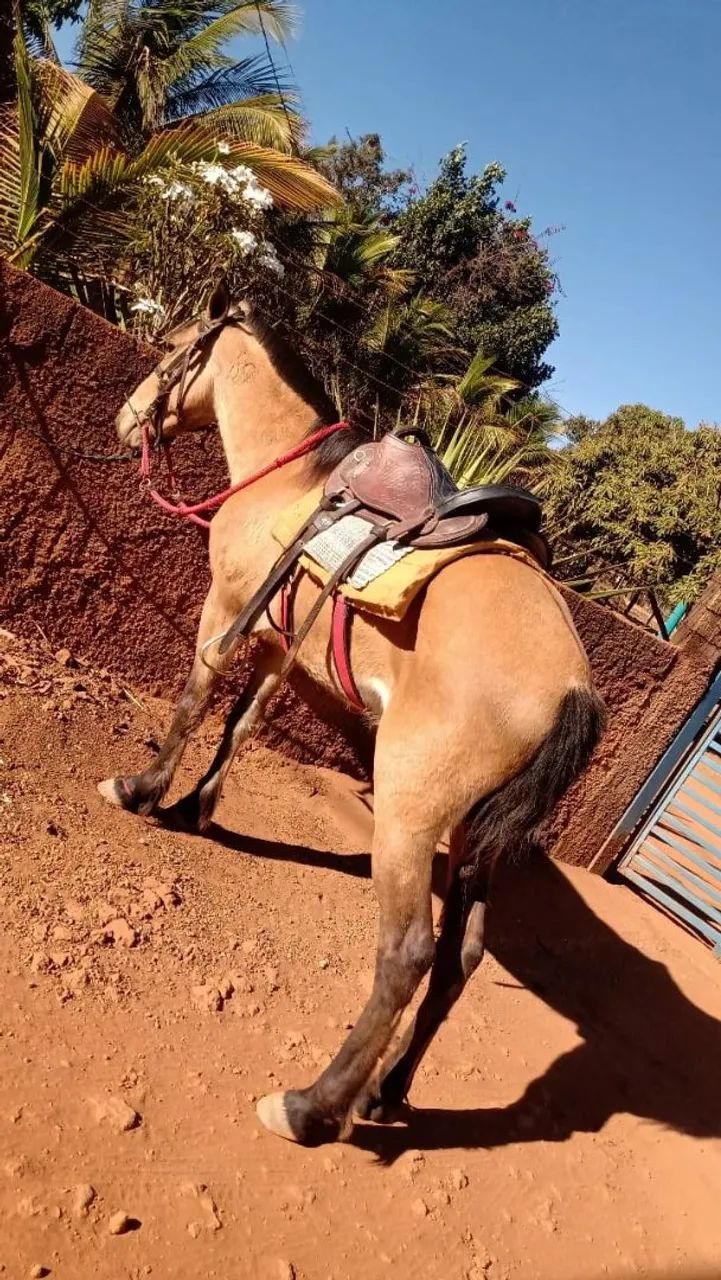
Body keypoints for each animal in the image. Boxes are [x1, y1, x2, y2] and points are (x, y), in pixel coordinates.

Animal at [99, 281, 605, 1146]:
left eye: (170, 350)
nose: (127, 421)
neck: (293, 479)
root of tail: (571, 685)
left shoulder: (226, 607)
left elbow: (196, 701)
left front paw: (141, 790)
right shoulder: (280, 641)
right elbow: (242, 722)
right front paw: (197, 806)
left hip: (407, 811)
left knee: (406, 955)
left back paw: (311, 1106)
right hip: (476, 837)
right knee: (460, 958)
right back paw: (385, 1091)